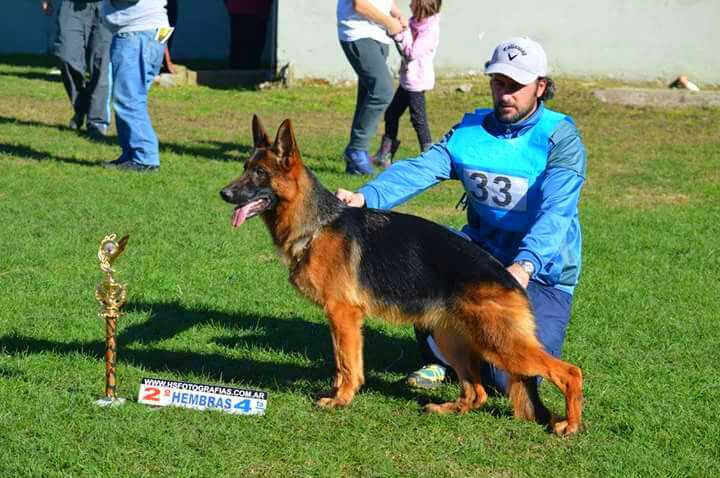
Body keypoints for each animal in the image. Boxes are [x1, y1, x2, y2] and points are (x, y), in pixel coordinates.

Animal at [221, 116, 584, 436]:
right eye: (244, 168)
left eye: (260, 173)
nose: (224, 194)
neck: (318, 225)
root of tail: (509, 279)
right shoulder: (340, 319)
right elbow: (342, 362)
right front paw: (337, 392)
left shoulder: (342, 314)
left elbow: (346, 363)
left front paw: (341, 399)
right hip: (453, 339)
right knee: (476, 391)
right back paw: (448, 409)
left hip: (501, 344)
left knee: (569, 372)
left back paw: (570, 425)